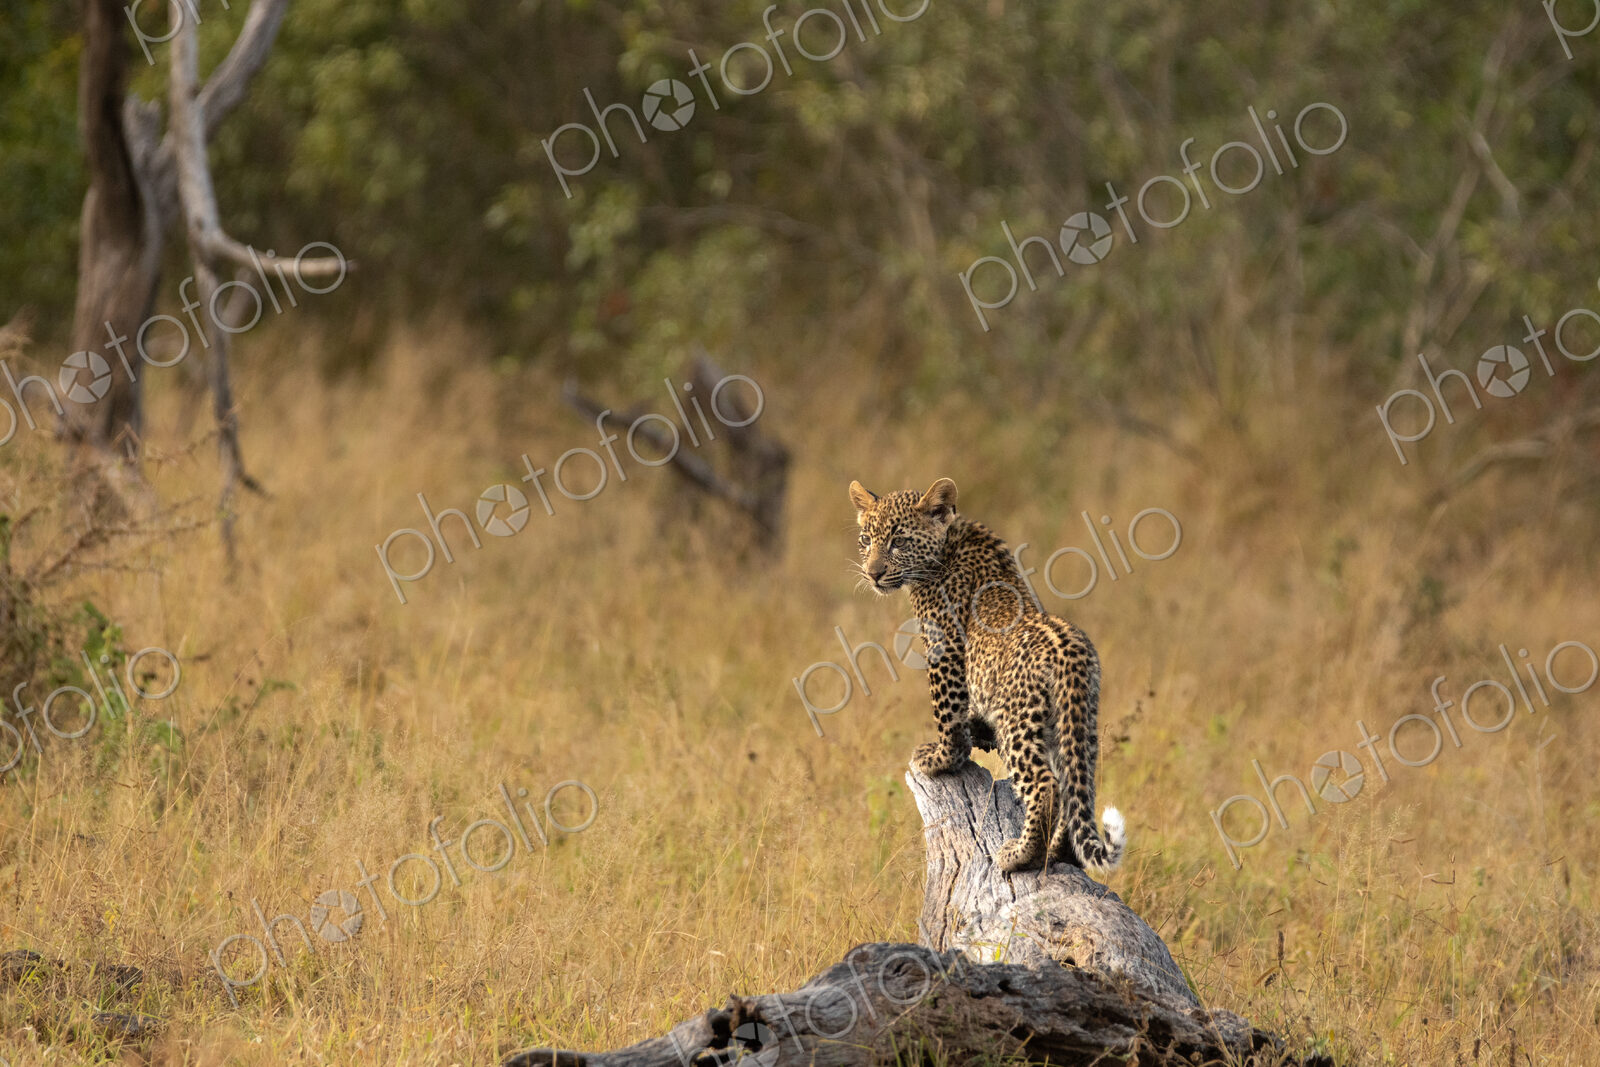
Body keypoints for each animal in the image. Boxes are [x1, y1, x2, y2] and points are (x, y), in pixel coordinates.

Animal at [849, 477, 1125, 875]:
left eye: (898, 541)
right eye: (865, 539)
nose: (873, 573)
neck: (949, 542)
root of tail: (1069, 649)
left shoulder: (945, 648)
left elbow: (946, 712)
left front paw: (940, 759)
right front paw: (974, 734)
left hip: (1019, 720)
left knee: (1046, 784)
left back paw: (1021, 855)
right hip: (1077, 723)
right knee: (1077, 788)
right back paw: (1060, 853)